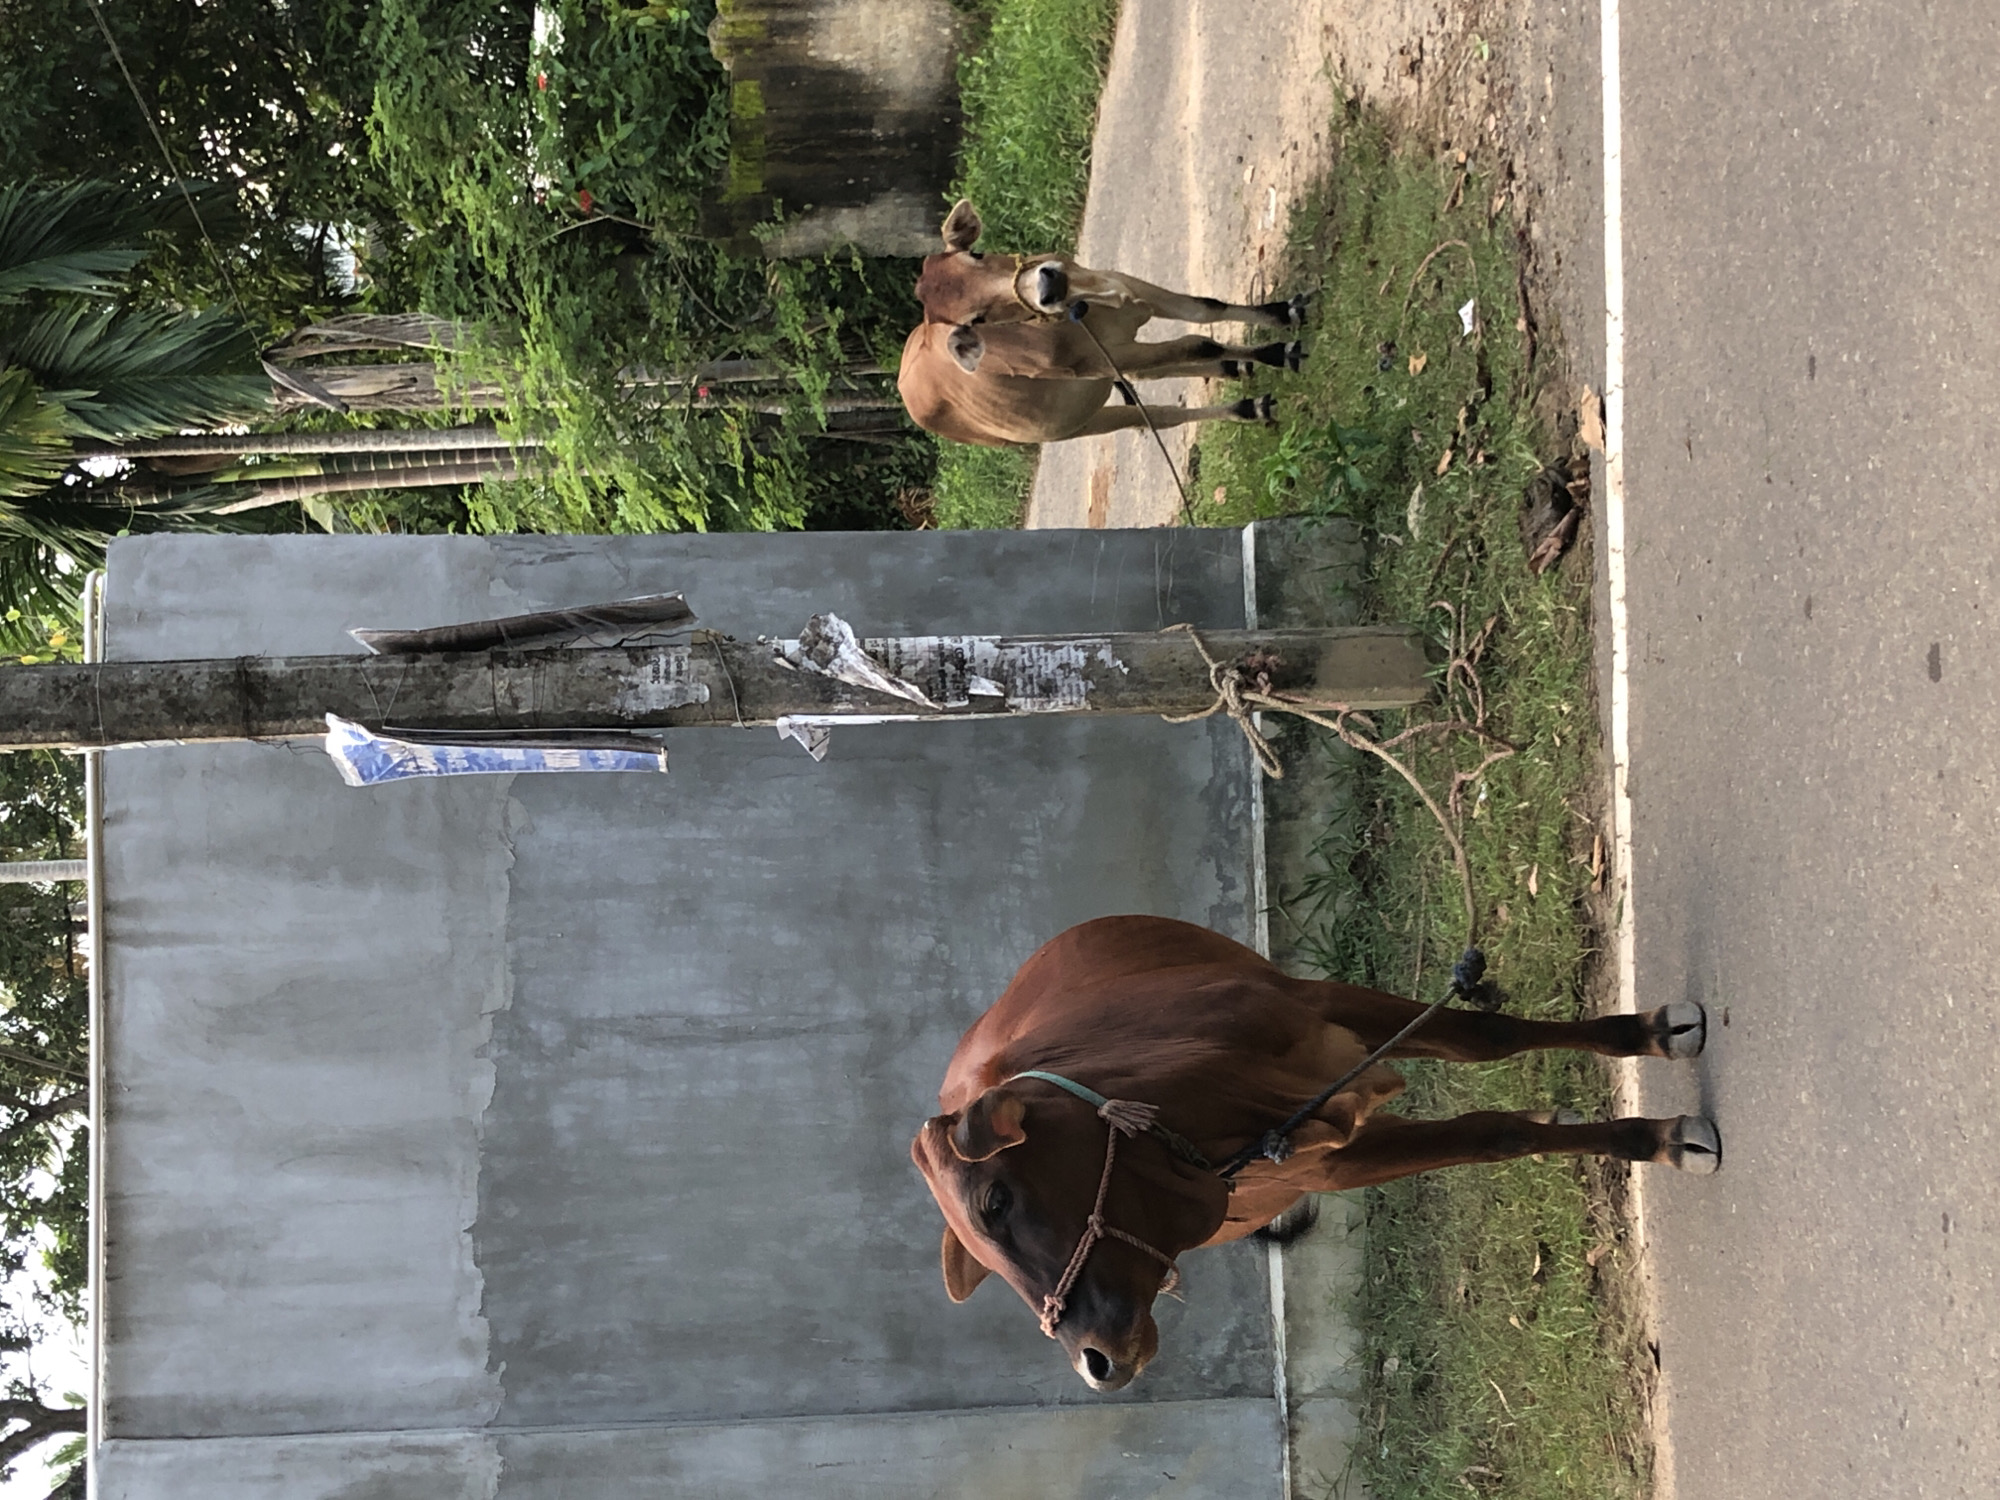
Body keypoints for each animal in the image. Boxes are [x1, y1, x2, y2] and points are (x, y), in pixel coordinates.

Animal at [910, 916, 1718, 1393]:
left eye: (995, 1200)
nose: (1097, 1362)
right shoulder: (1333, 1159)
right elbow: (1495, 1134)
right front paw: (1653, 1135)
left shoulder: (1325, 1007)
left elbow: (1489, 1040)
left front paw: (1650, 1044)